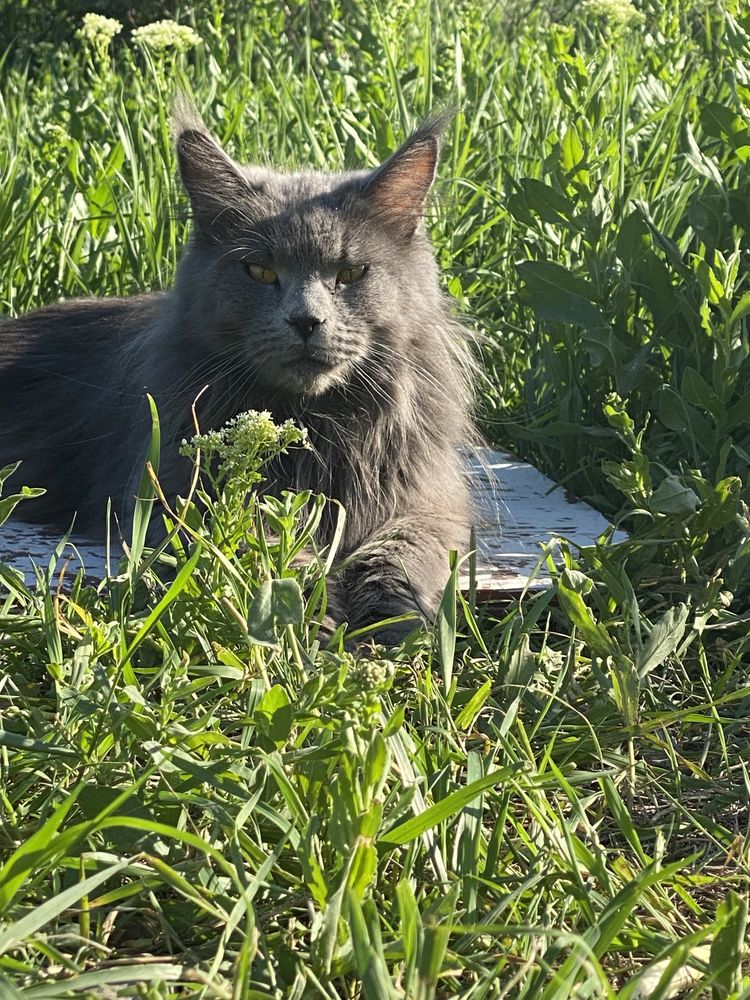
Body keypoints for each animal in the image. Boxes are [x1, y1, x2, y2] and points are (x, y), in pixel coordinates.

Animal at [0, 107, 476, 640]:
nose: (307, 320)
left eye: (351, 274)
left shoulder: (428, 502)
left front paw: (390, 623)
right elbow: (265, 550)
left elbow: (403, 558)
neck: (315, 426)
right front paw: (312, 615)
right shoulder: (181, 497)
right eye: (262, 273)